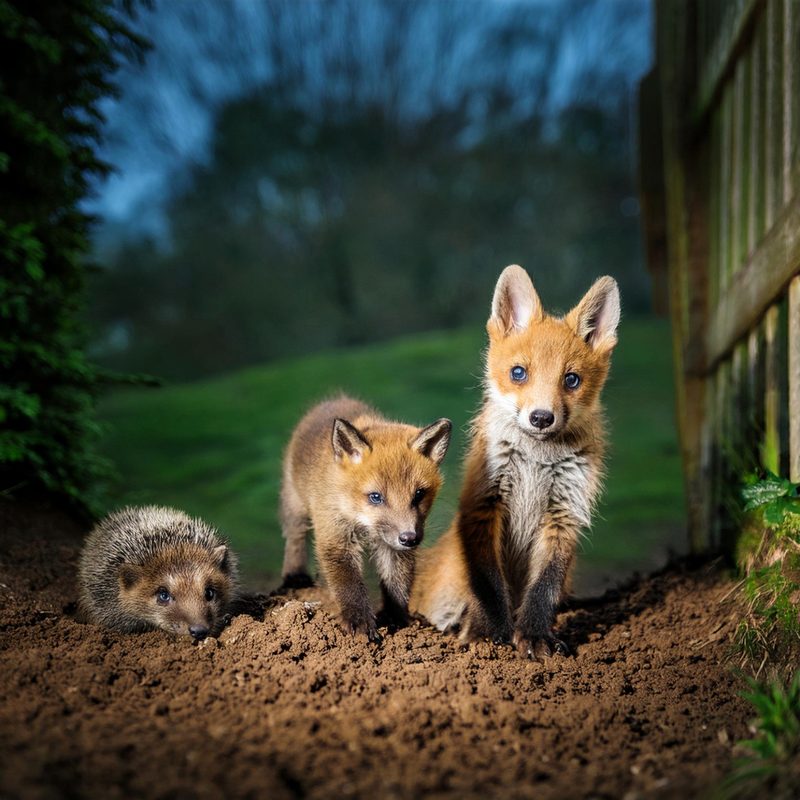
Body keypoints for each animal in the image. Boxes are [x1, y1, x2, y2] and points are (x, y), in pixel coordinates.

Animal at [279, 395, 452, 642]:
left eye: (418, 494)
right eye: (375, 497)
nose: (410, 538)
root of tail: (334, 400)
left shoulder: (394, 548)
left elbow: (397, 584)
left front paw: (395, 619)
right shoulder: (335, 533)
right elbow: (348, 584)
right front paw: (358, 622)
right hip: (295, 506)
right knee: (295, 539)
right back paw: (294, 577)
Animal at [410, 264, 620, 659]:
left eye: (572, 380)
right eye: (518, 373)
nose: (541, 418)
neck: (536, 464)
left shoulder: (564, 514)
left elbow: (544, 587)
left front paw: (535, 636)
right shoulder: (482, 505)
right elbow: (489, 586)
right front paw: (490, 635)